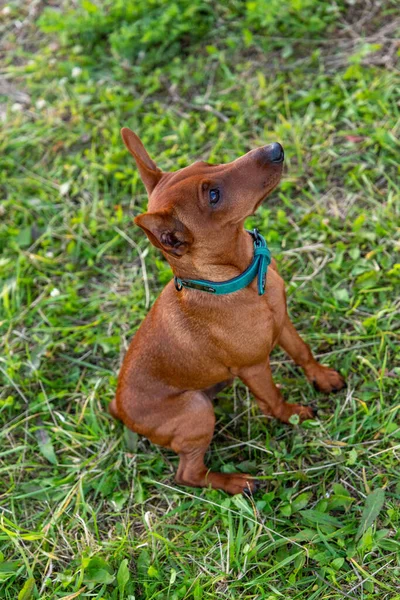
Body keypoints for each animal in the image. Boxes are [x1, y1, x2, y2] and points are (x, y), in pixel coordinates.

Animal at [111, 129, 346, 494]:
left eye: (206, 163)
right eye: (213, 196)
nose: (275, 148)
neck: (239, 279)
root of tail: (119, 408)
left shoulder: (283, 323)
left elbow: (302, 352)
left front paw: (321, 377)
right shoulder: (254, 367)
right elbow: (273, 399)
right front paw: (293, 414)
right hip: (196, 409)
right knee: (188, 474)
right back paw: (236, 482)